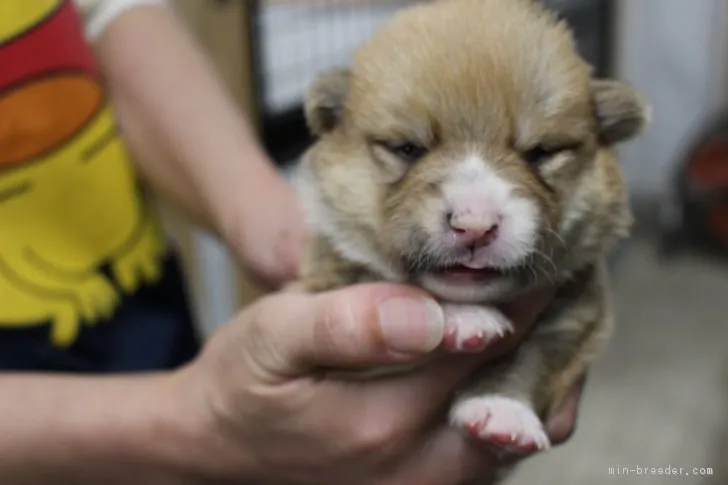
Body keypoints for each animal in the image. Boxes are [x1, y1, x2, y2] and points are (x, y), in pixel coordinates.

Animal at [296, 0, 648, 468]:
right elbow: (381, 278)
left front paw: (502, 408)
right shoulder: (328, 282)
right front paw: (462, 316)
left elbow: (532, 358)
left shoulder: (575, 313)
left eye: (540, 153)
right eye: (408, 148)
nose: (475, 225)